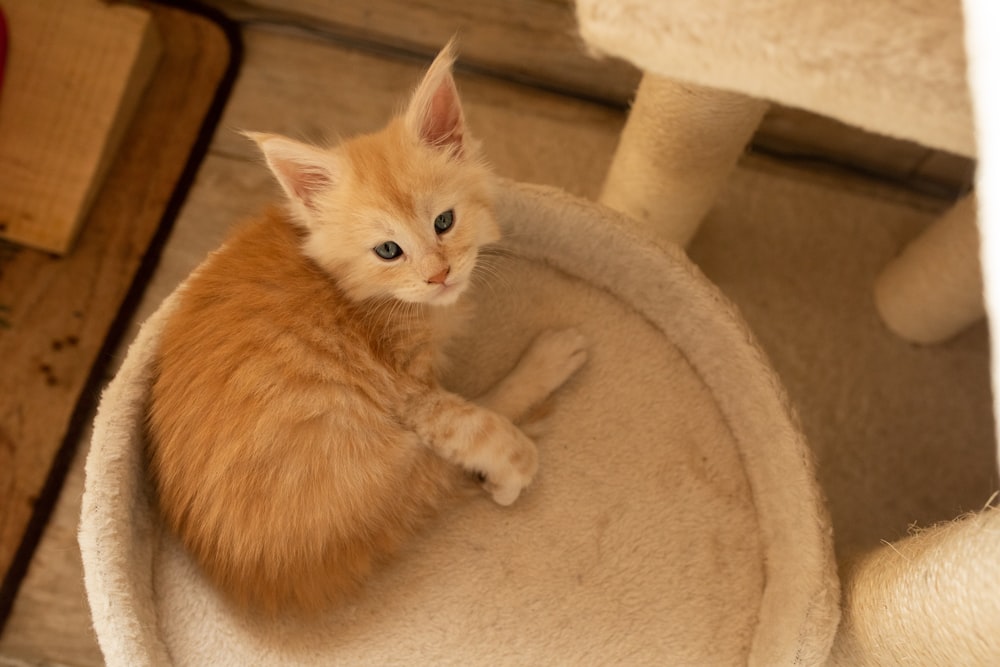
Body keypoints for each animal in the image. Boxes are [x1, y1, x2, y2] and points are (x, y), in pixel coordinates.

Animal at [146, 43, 588, 616]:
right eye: (388, 250)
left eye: (444, 222)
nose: (439, 275)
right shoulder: (410, 391)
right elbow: (477, 426)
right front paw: (514, 466)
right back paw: (547, 366)